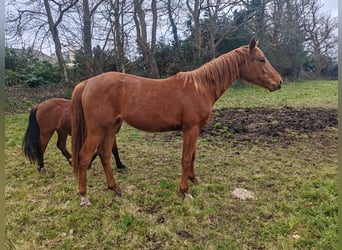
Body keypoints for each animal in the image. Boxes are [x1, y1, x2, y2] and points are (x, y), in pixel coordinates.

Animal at [71, 38, 282, 205]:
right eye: (261, 59)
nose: (279, 82)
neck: (200, 88)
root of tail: (87, 82)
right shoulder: (190, 129)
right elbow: (186, 158)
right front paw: (185, 191)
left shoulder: (196, 130)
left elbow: (193, 156)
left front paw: (194, 180)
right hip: (97, 130)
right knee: (84, 157)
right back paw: (84, 196)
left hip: (111, 128)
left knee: (105, 155)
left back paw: (115, 188)